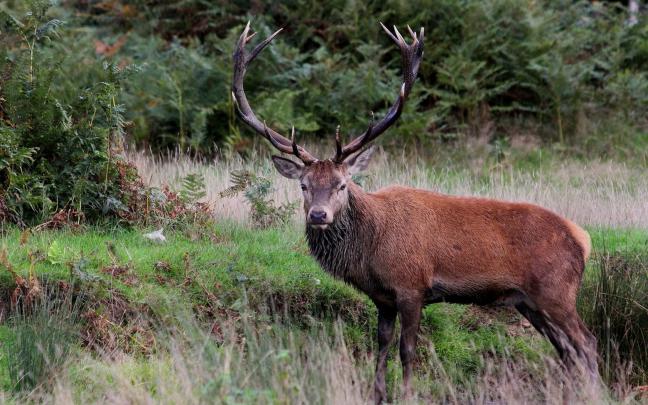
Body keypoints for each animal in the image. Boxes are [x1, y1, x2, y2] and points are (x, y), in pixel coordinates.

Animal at [232, 22, 599, 403]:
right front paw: (377, 393)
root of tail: (583, 238)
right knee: (566, 350)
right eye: (303, 185)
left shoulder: (412, 286)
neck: (370, 250)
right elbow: (381, 344)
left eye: (342, 184)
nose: (318, 215)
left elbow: (407, 350)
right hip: (529, 302)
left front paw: (408, 393)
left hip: (556, 290)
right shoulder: (382, 298)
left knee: (587, 343)